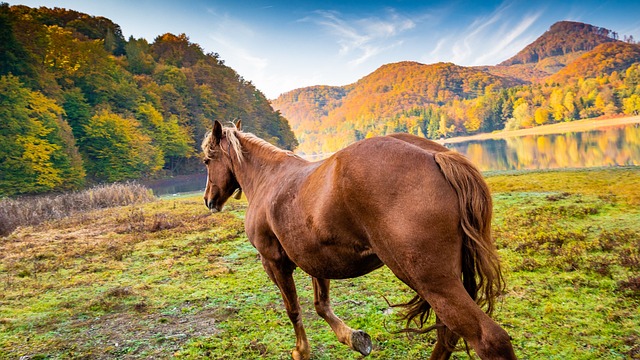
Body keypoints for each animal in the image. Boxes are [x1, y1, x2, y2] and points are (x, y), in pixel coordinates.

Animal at [202, 121, 516, 360]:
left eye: (207, 160)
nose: (208, 200)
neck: (268, 178)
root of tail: (435, 156)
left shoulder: (274, 263)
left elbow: (294, 310)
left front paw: (301, 351)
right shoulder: (317, 261)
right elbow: (321, 305)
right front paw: (354, 338)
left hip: (431, 280)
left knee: (488, 339)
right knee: (447, 333)